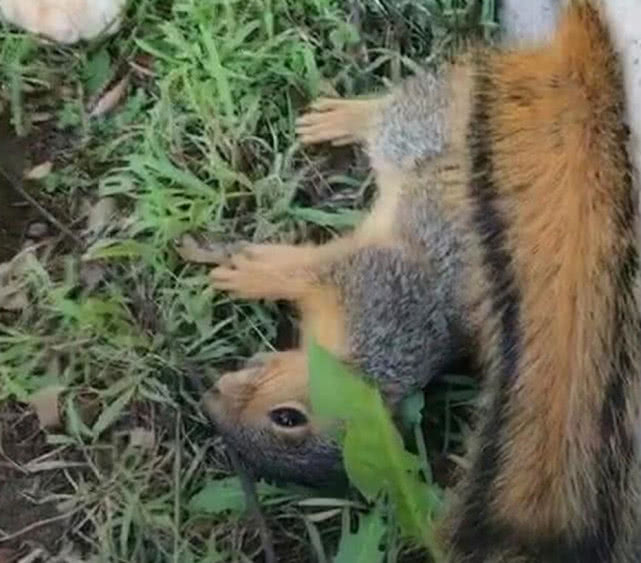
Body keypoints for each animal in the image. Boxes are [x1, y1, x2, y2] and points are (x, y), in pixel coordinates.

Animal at [191, 0, 641, 560]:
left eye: (287, 419)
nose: (209, 400)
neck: (374, 352)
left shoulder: (372, 284)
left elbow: (306, 269)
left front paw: (250, 271)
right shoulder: (378, 280)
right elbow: (306, 269)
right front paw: (247, 269)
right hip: (425, 126)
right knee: (396, 110)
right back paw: (345, 116)